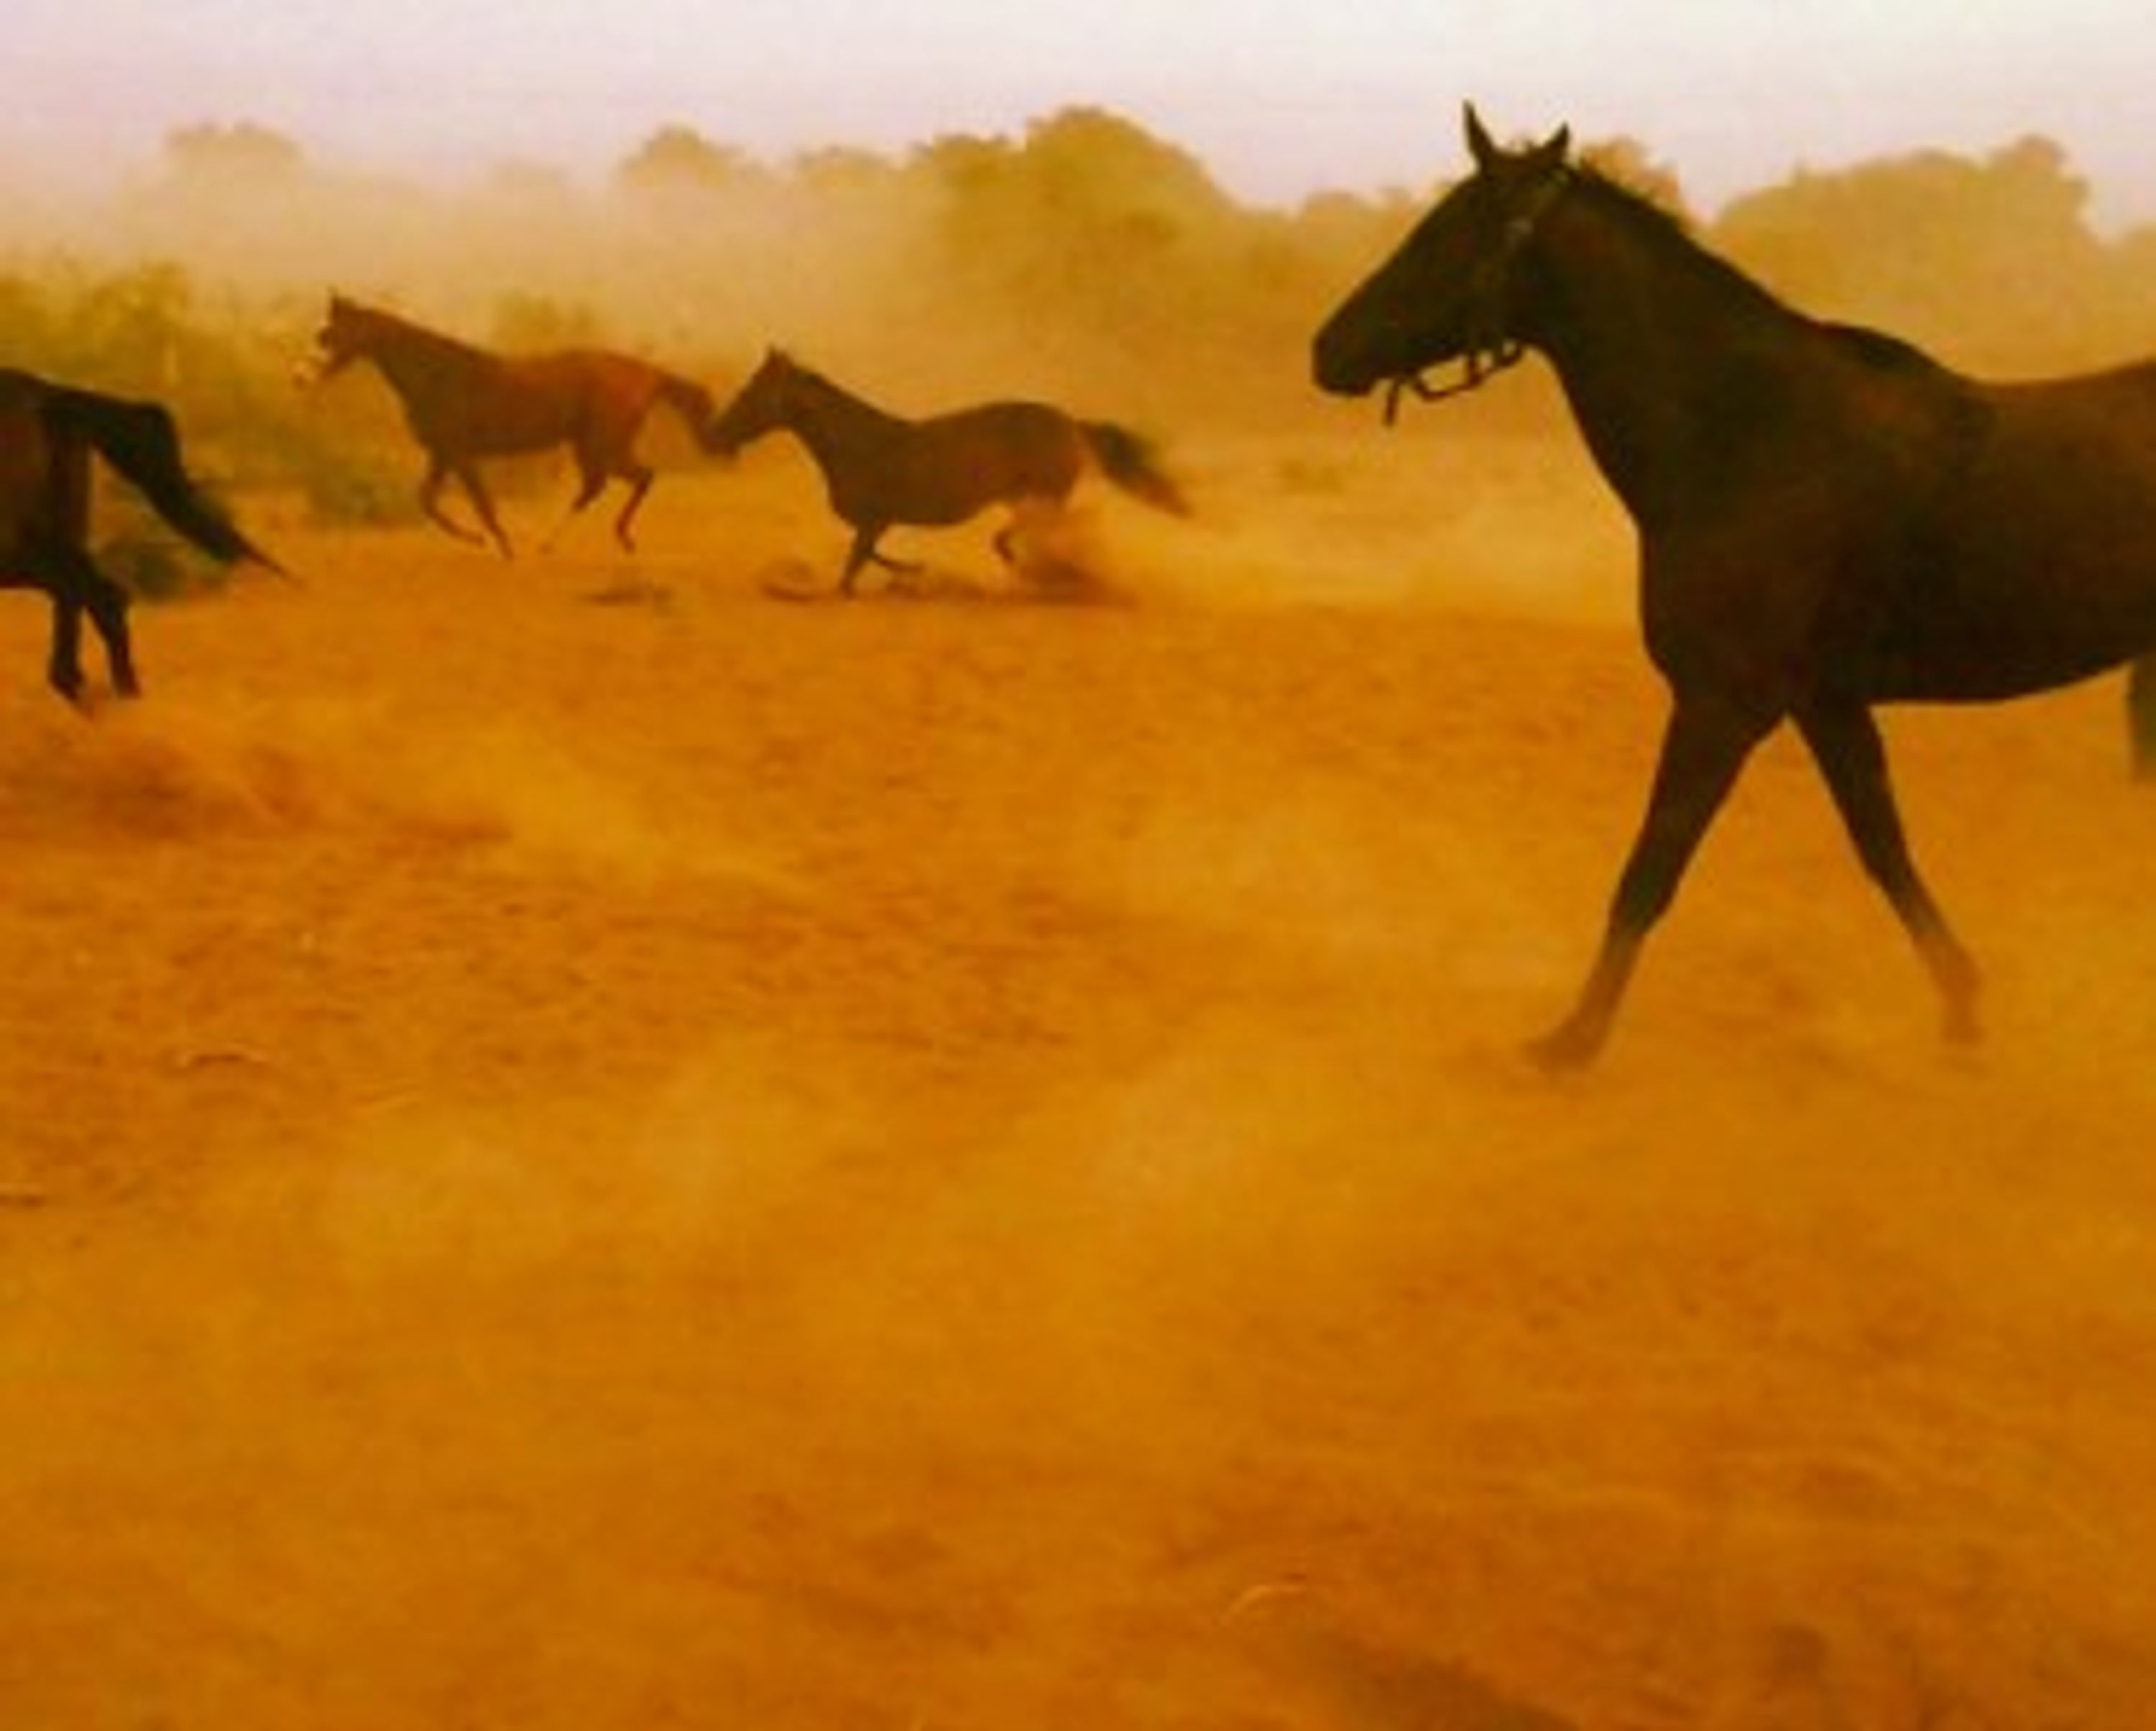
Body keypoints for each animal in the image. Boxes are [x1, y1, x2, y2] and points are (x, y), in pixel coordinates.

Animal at [303, 294, 721, 558]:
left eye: (329, 336)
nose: (299, 377)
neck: (439, 375)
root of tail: (646, 374)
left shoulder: (461, 454)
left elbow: (482, 504)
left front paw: (500, 547)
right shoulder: (442, 454)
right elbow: (428, 500)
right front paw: (477, 540)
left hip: (603, 445)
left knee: (632, 479)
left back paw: (590, 540)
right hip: (593, 446)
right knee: (610, 484)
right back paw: (559, 543)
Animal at [705, 348, 1191, 595]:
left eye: (750, 394)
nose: (716, 434)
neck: (860, 444)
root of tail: (1071, 423)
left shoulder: (875, 519)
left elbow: (854, 566)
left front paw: (906, 576)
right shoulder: (876, 524)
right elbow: (865, 559)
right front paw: (911, 574)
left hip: (1043, 496)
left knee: (1029, 537)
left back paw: (1042, 573)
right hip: (1027, 499)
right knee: (1022, 537)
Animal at [1314, 104, 2156, 1069]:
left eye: (1446, 234)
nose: (1328, 347)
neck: (1747, 436)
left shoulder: (1723, 702)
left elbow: (1649, 870)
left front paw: (1572, 1040)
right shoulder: (1823, 700)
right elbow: (1883, 847)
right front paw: (1962, 1003)